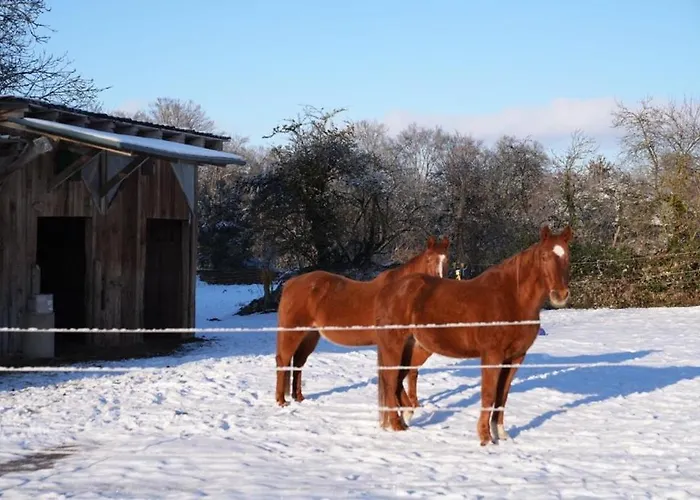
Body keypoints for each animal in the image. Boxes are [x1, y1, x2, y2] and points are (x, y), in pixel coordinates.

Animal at [275, 235, 450, 408]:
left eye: (446, 259)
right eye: (428, 259)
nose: (439, 282)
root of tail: (290, 283)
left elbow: (410, 372)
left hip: (310, 335)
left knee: (298, 362)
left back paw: (299, 397)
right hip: (293, 332)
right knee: (283, 360)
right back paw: (281, 401)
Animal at [374, 225, 572, 445]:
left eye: (567, 255)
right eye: (544, 256)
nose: (560, 295)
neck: (511, 299)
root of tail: (389, 290)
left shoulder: (515, 358)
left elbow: (502, 395)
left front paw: (500, 433)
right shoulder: (492, 356)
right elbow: (488, 394)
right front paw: (485, 438)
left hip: (414, 348)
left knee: (399, 378)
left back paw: (406, 416)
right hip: (395, 346)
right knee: (390, 379)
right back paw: (397, 424)